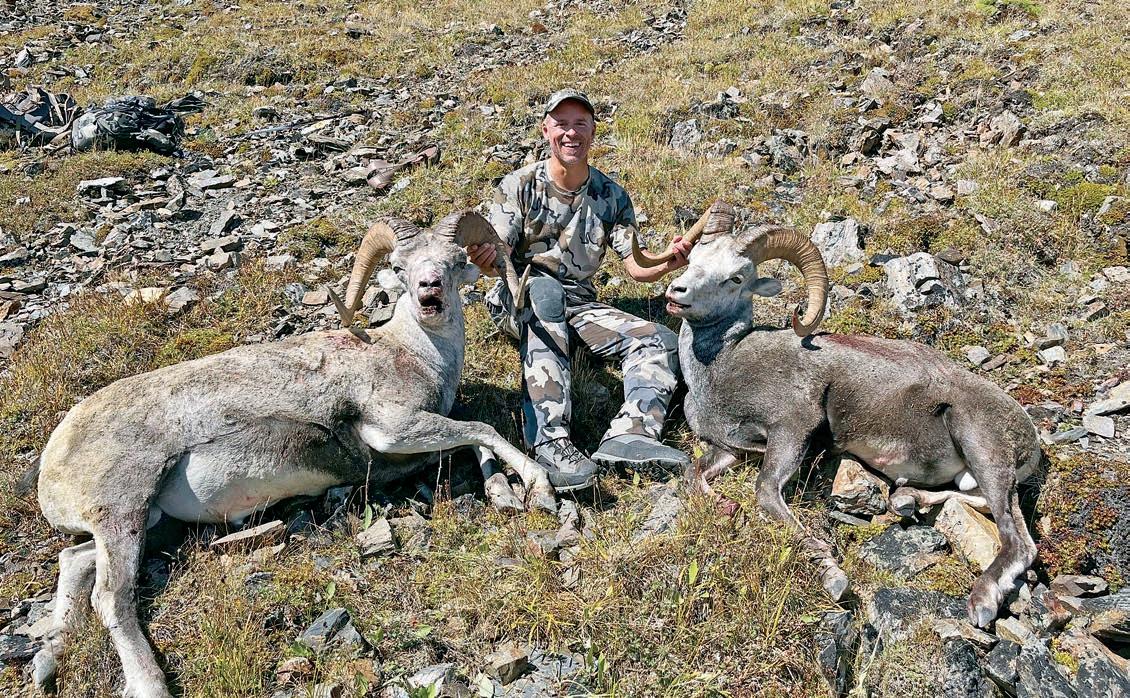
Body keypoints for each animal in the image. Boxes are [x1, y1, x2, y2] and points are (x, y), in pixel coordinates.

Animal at [30, 210, 554, 697]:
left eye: (457, 260)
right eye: (400, 267)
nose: (429, 291)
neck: (410, 354)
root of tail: (51, 467)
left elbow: (474, 441)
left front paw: (504, 494)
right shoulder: (393, 429)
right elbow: (481, 431)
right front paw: (541, 489)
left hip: (149, 523)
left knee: (74, 561)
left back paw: (50, 655)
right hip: (123, 512)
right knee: (111, 597)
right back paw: (148, 683)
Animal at [631, 201, 1038, 628]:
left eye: (735, 277)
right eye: (693, 259)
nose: (677, 293)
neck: (721, 368)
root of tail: (1029, 438)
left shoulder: (791, 431)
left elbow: (765, 493)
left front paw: (832, 576)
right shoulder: (732, 449)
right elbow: (692, 475)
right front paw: (725, 505)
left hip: (981, 446)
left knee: (1018, 541)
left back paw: (982, 602)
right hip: (976, 475)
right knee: (978, 504)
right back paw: (907, 500)